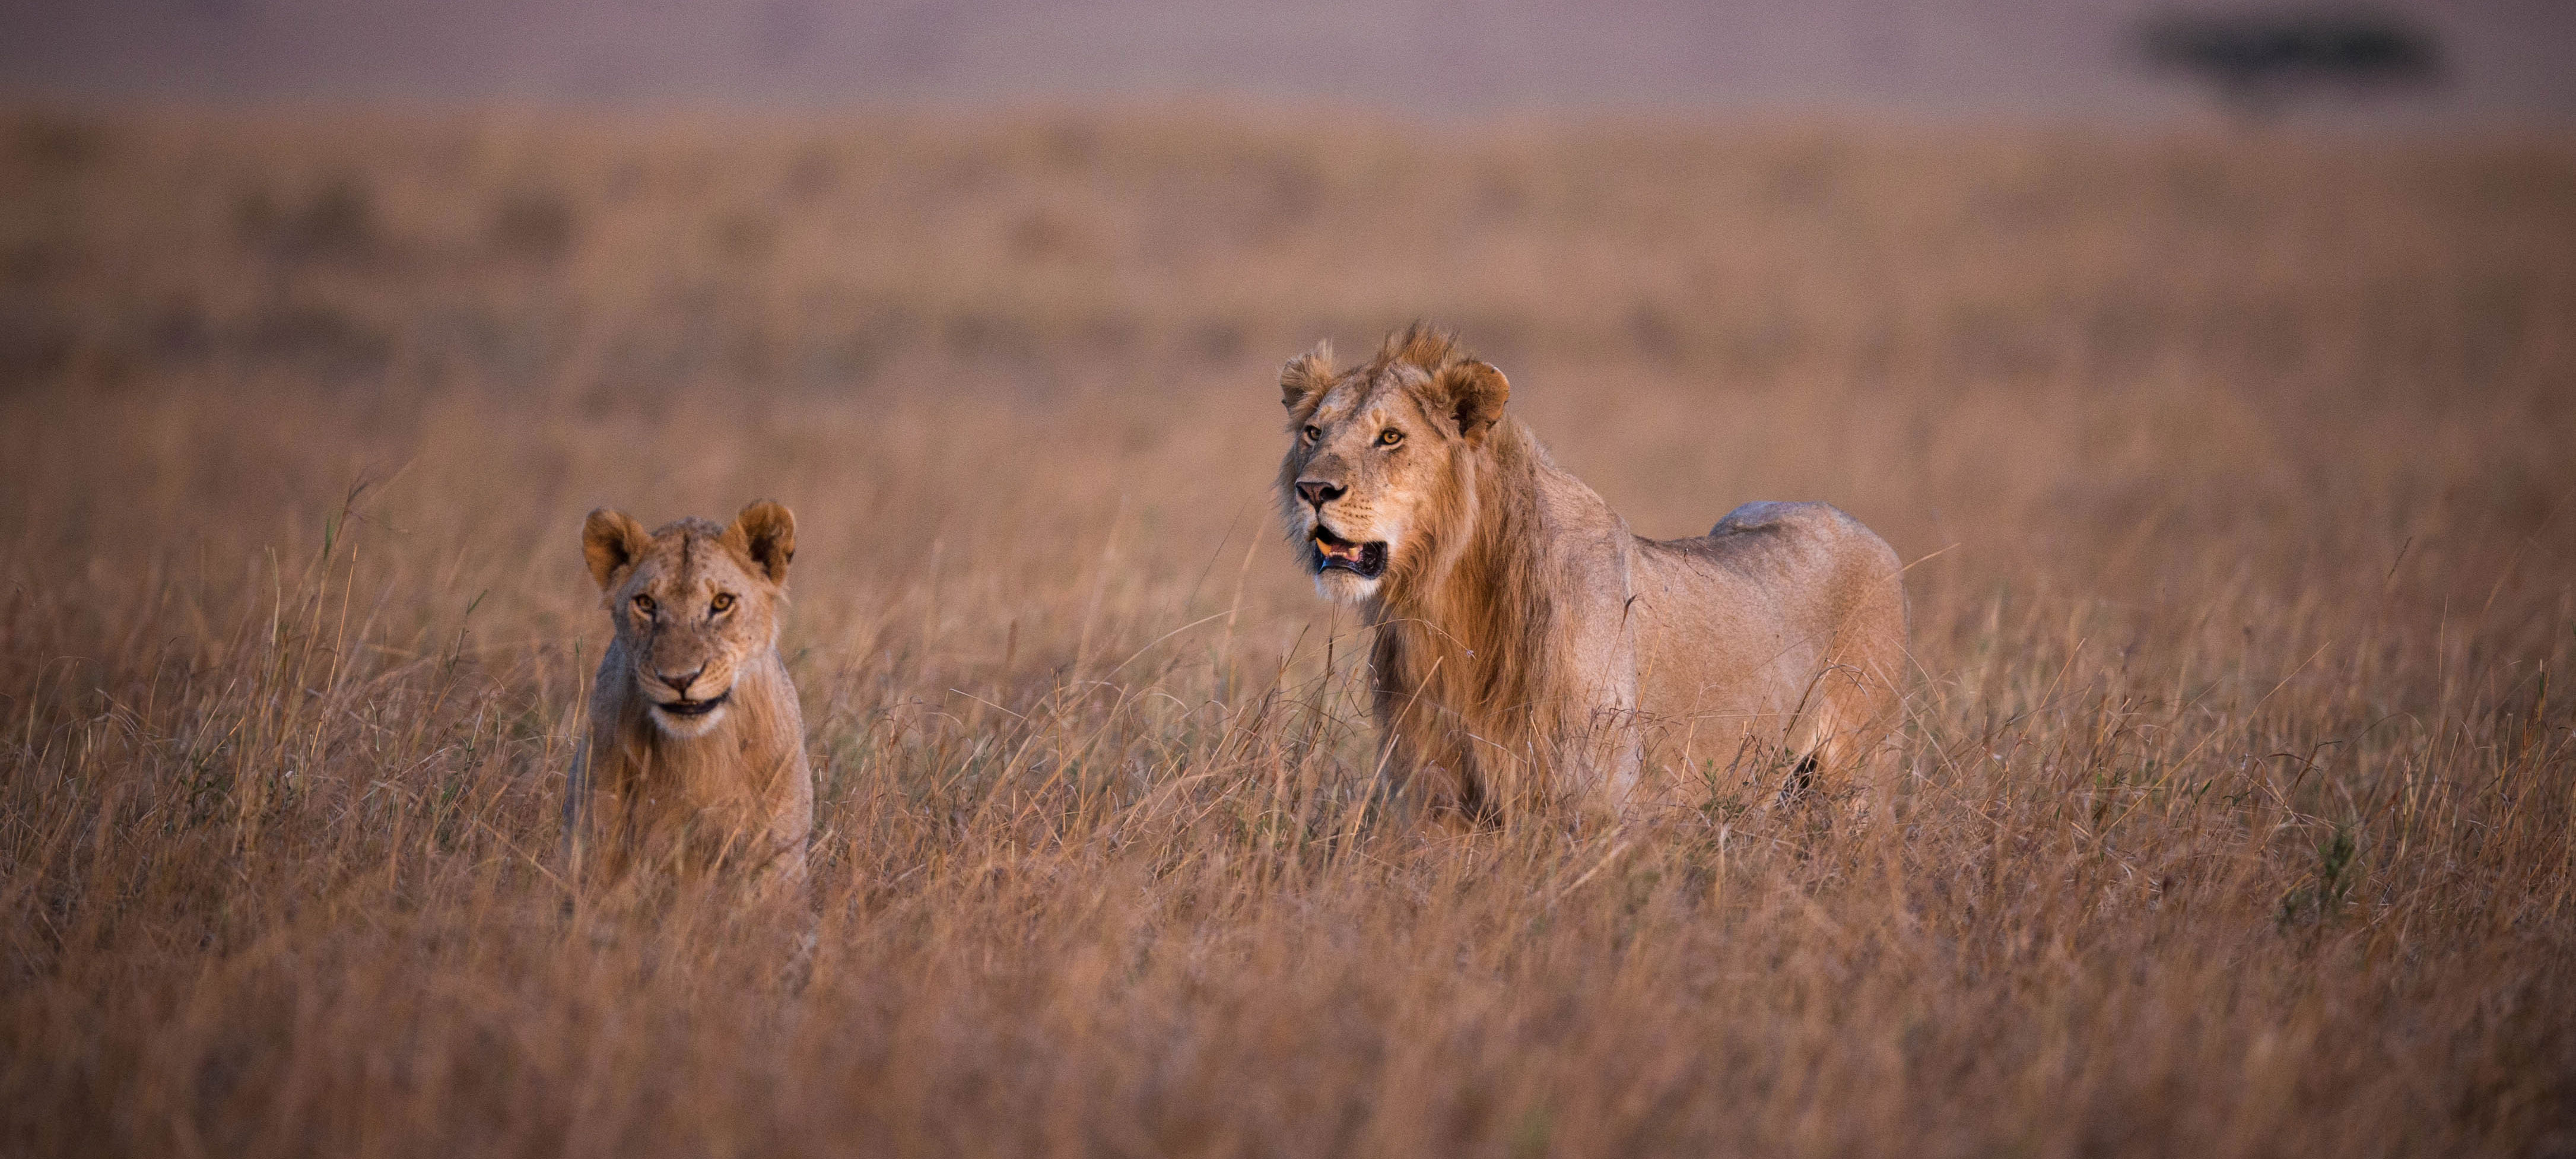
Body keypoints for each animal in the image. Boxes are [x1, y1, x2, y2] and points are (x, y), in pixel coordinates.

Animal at [567, 502, 809, 891]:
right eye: (646, 603)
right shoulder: (593, 841)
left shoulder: (781, 860)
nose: (679, 679)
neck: (700, 756)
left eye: (722, 602)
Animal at [1278, 322, 1906, 819]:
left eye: (1390, 437)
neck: (1446, 599)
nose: (1312, 490)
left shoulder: (1595, 800)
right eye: (1314, 432)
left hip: (1859, 778)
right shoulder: (1435, 799)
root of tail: (1858, 526)